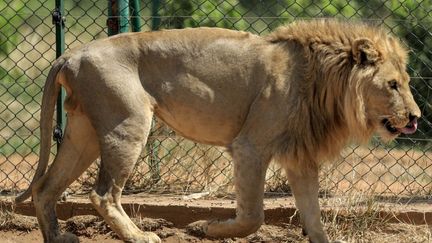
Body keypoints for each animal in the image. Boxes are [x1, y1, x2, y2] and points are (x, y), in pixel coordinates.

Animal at [16, 19, 418, 243]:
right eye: (393, 85)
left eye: (407, 82)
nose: (415, 117)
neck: (322, 79)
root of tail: (71, 53)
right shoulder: (250, 146)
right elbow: (253, 216)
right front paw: (204, 228)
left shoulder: (300, 158)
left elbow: (314, 219)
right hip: (126, 123)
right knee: (103, 195)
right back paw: (140, 236)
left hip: (84, 132)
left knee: (45, 187)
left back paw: (58, 237)